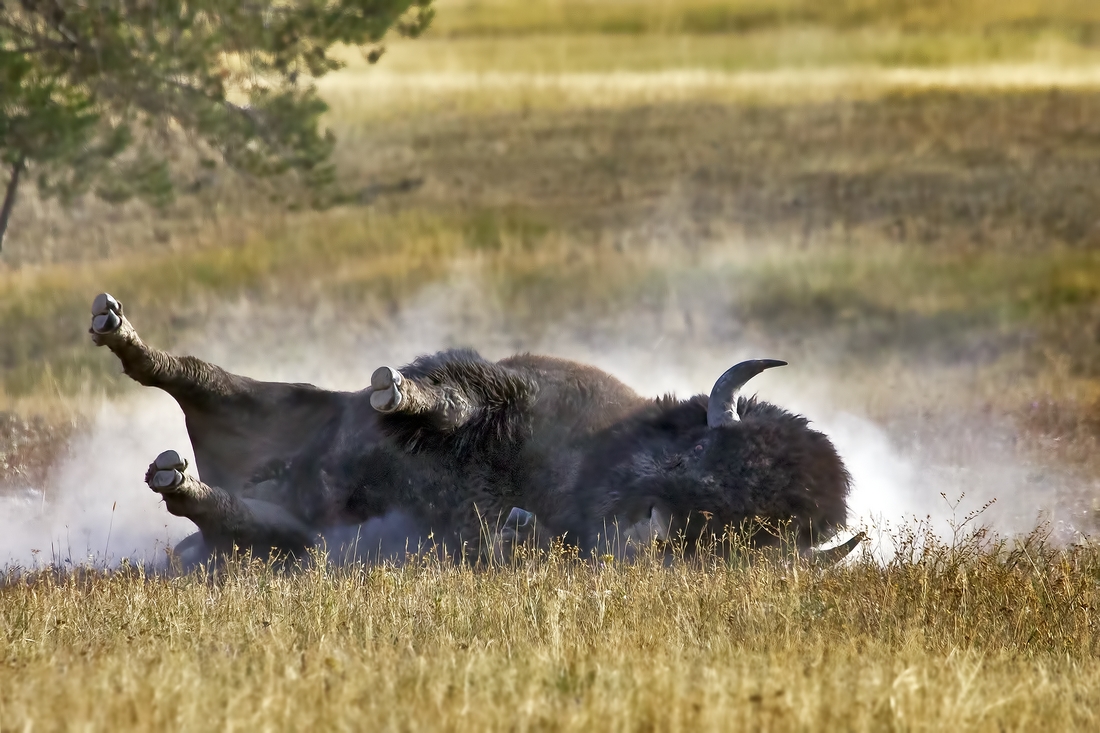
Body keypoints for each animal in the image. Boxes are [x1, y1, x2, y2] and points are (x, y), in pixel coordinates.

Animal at [88, 290, 858, 563]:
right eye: (699, 446)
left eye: (740, 526)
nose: (654, 520)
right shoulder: (517, 393)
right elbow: (452, 399)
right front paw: (395, 390)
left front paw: (518, 527)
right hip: (282, 402)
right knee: (187, 375)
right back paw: (116, 328)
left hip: (280, 536)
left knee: (225, 509)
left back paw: (174, 475)